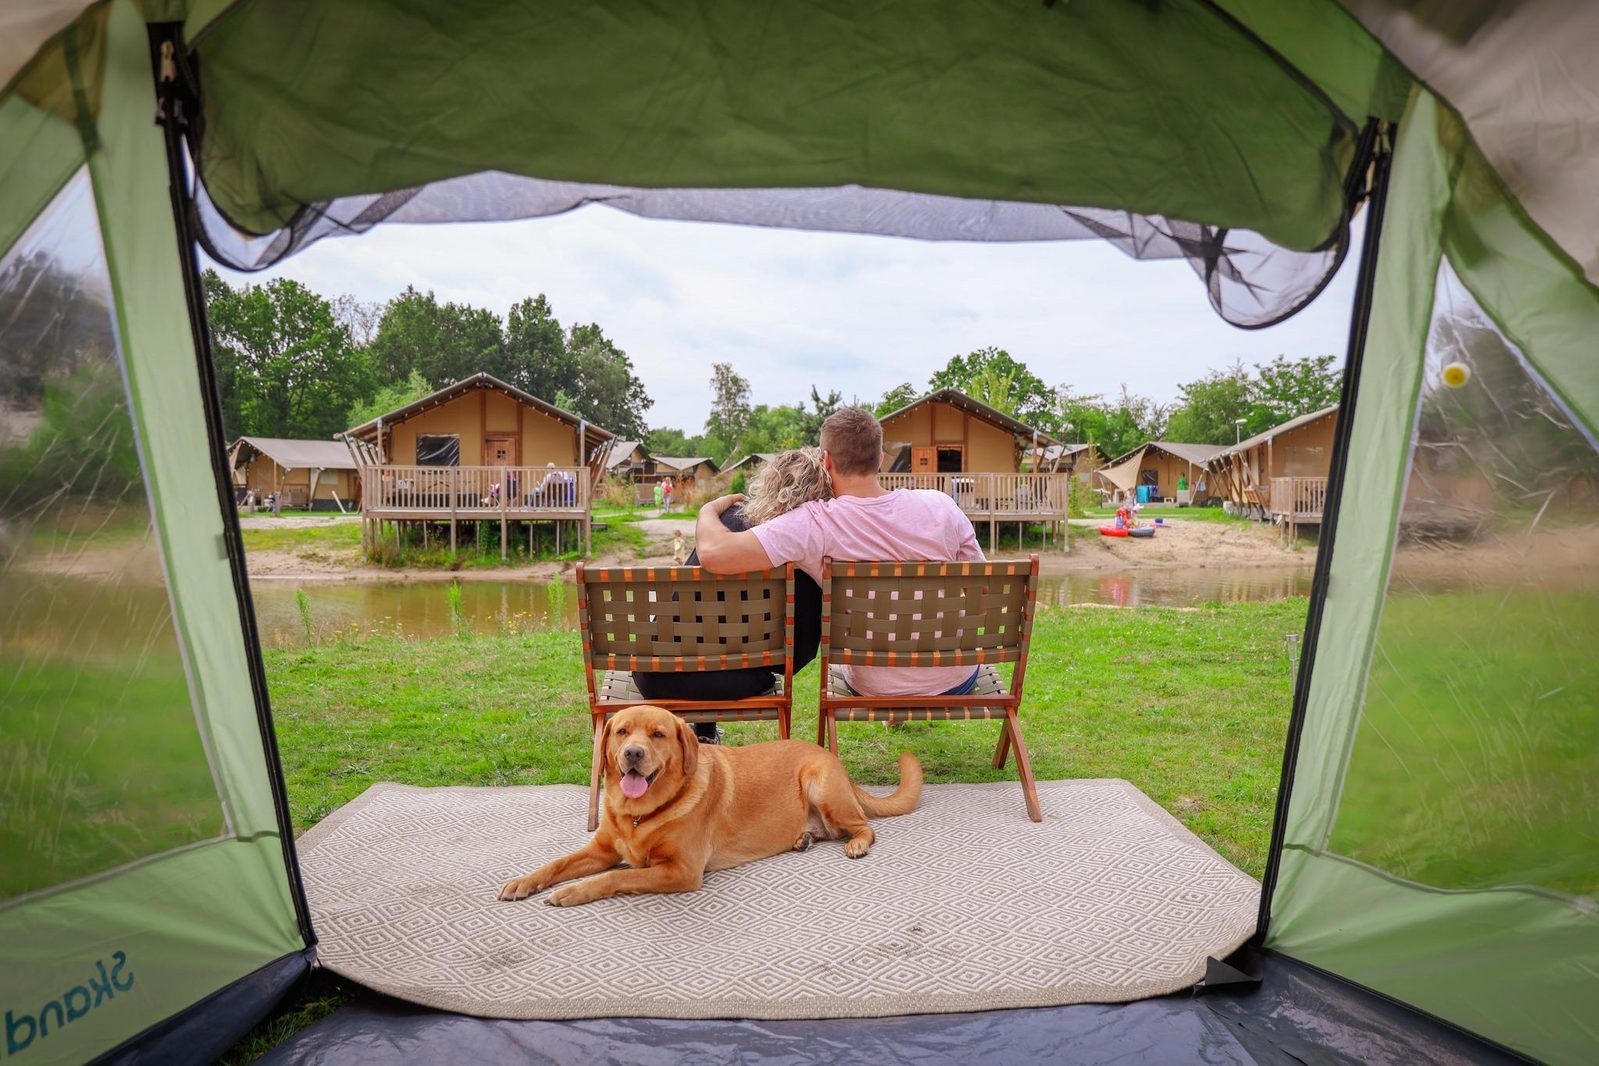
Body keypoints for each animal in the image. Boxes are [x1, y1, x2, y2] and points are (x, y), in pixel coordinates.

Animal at [498, 703, 927, 907]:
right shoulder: (600, 849)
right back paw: (803, 839)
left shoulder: (681, 871)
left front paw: (574, 892)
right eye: (621, 731)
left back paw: (855, 844)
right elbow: (556, 864)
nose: (633, 753)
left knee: (865, 827)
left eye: (657, 734)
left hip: (820, 785)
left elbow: (615, 878)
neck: (640, 815)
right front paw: (524, 882)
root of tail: (828, 755)